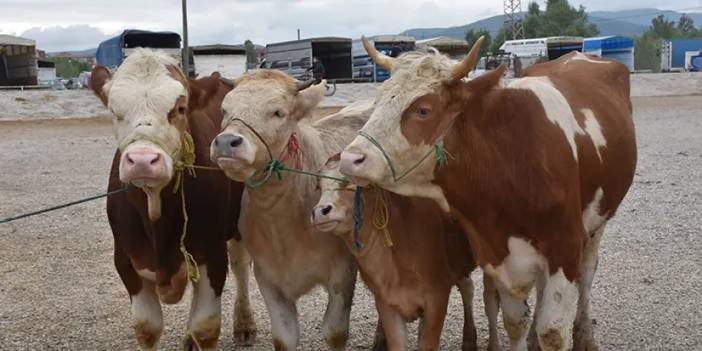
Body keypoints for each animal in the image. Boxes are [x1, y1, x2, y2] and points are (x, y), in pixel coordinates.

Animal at [90, 48, 256, 350]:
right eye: (114, 111)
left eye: (180, 109)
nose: (142, 160)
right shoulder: (126, 261)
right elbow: (147, 327)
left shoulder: (212, 255)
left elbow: (206, 326)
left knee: (240, 265)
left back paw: (244, 324)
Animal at [209, 70, 374, 350]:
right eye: (224, 109)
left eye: (278, 112)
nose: (226, 142)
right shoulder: (268, 277)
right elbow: (284, 337)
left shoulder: (343, 271)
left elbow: (335, 332)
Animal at [312, 159, 500, 351]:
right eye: (319, 186)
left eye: (351, 180)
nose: (320, 211)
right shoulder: (386, 303)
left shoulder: (437, 297)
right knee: (467, 287)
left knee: (490, 301)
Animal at [340, 37, 640, 350]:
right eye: (377, 102)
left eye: (423, 109)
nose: (350, 158)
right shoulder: (499, 254)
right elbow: (514, 322)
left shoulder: (565, 246)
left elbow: (553, 333)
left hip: (596, 223)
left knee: (587, 275)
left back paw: (585, 336)